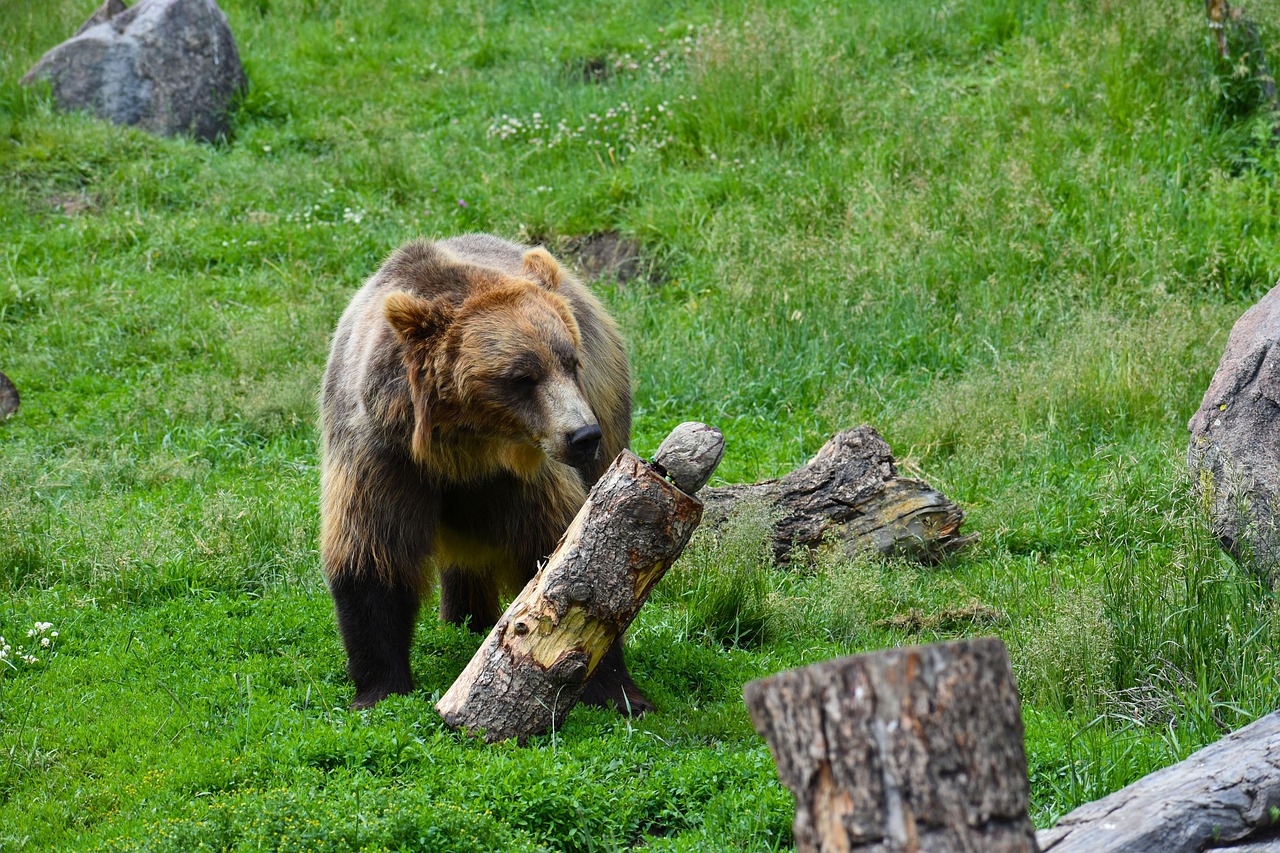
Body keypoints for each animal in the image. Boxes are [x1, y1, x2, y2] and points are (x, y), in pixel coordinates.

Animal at [319, 233, 652, 713]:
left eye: (570, 361)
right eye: (522, 377)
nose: (583, 435)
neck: (464, 450)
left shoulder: (527, 479)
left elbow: (561, 555)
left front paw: (614, 689)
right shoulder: (382, 455)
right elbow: (373, 553)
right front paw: (379, 687)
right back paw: (465, 618)